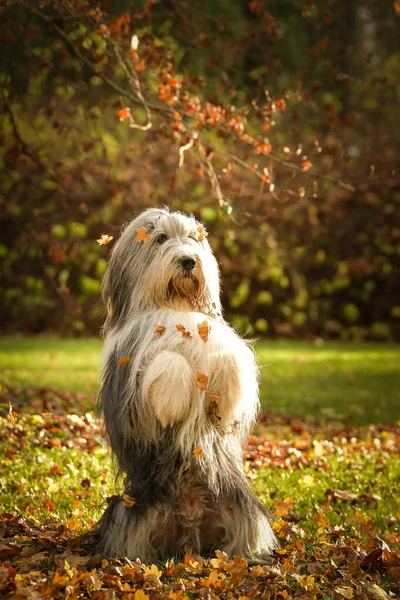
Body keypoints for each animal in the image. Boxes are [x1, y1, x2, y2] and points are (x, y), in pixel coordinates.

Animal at [95, 207, 276, 564]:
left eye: (193, 238)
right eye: (160, 239)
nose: (189, 260)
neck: (176, 307)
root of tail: (190, 531)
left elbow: (229, 355)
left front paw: (225, 403)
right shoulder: (130, 381)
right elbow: (167, 360)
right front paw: (171, 402)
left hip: (249, 513)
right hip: (127, 515)